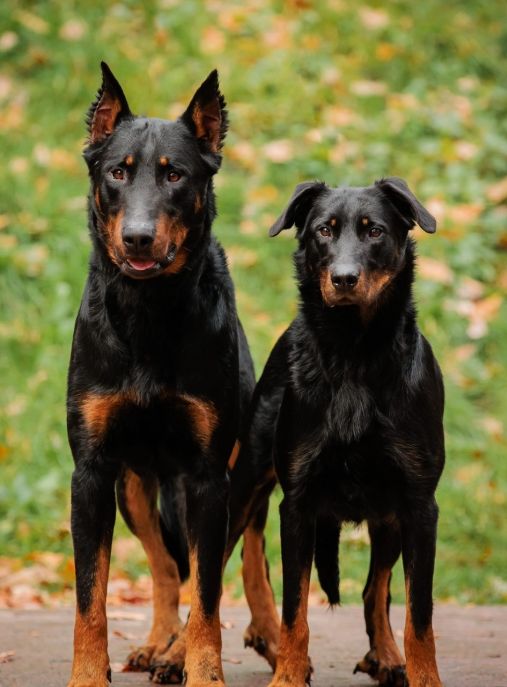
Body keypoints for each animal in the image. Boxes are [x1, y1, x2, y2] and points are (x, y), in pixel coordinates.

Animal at [65, 64, 280, 687]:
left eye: (175, 175)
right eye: (117, 172)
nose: (137, 237)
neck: (149, 314)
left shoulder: (210, 476)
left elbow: (208, 595)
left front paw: (203, 669)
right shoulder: (91, 472)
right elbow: (92, 596)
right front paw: (89, 673)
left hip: (242, 467)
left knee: (246, 549)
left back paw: (257, 636)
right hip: (134, 486)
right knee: (165, 567)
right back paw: (158, 643)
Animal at [234, 179, 444, 687]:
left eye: (375, 232)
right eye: (324, 231)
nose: (345, 278)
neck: (353, 355)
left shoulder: (419, 506)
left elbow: (419, 615)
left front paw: (423, 675)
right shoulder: (297, 505)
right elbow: (295, 611)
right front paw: (287, 674)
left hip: (390, 519)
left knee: (374, 589)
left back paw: (386, 655)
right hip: (246, 478)